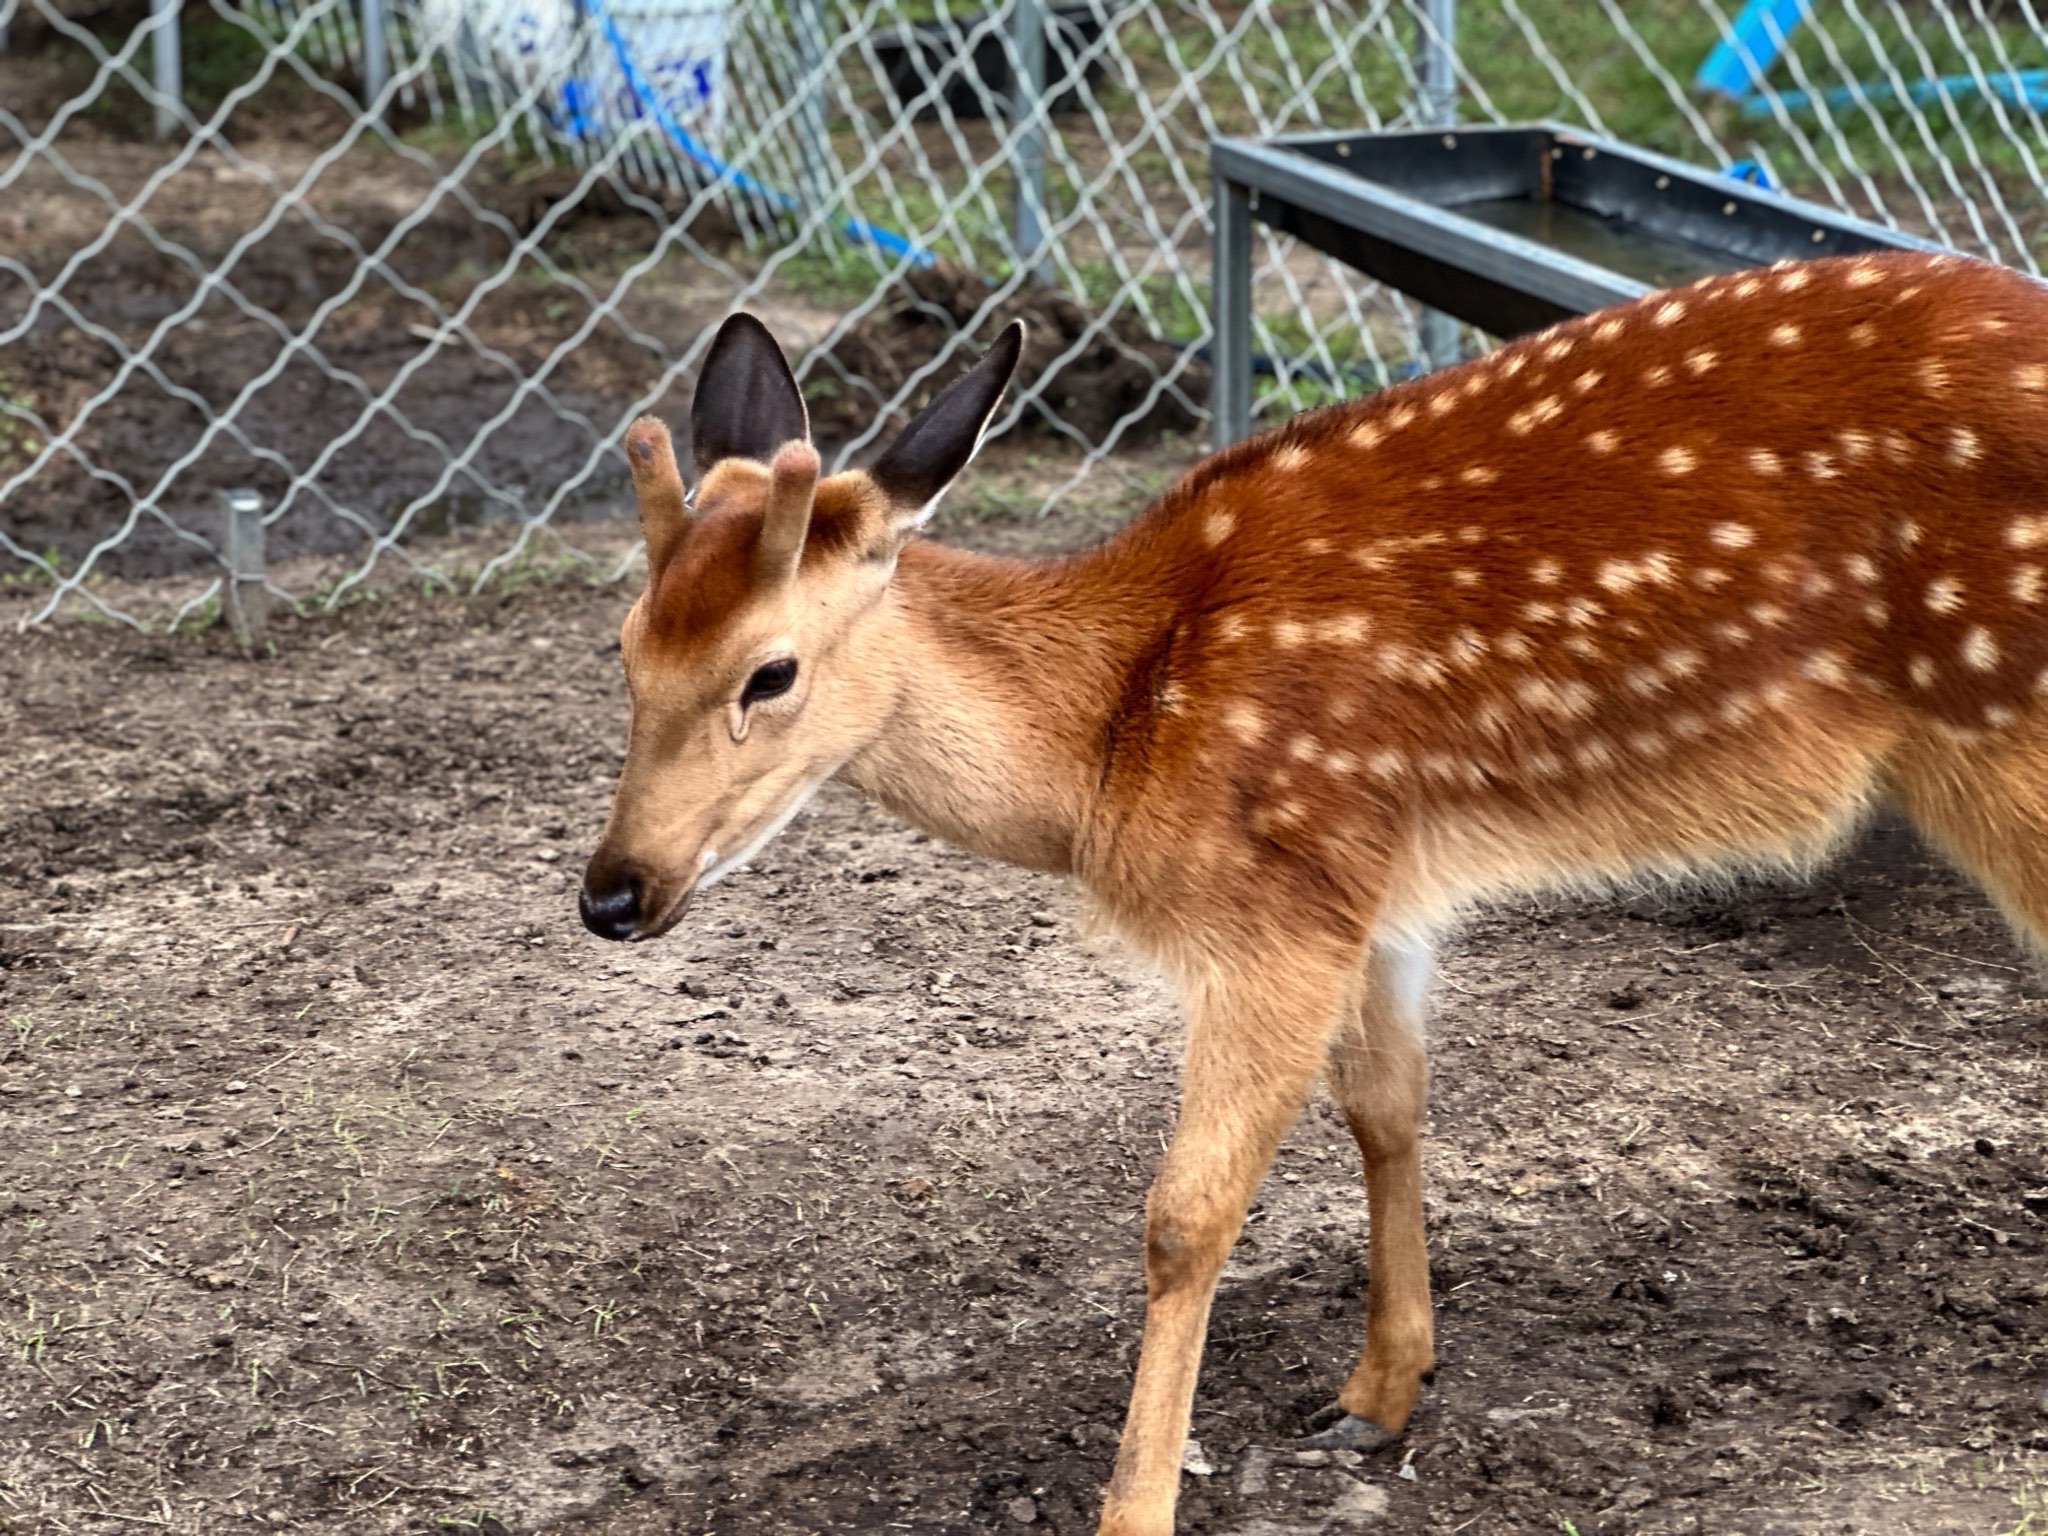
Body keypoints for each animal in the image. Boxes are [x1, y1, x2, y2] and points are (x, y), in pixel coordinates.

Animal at [579, 249, 2048, 1535]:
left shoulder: (1274, 907)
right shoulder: (1366, 887)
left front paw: (1137, 1507)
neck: (1115, 735)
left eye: (769, 672)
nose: (611, 894)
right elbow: (1387, 1109)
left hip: (2004, 731)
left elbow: (1184, 1217)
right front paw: (1381, 1391)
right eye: (626, 642)